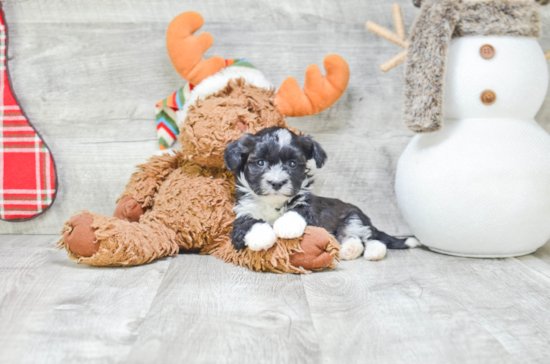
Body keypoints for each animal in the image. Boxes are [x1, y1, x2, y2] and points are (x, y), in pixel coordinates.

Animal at [222, 126, 420, 260]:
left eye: (292, 164)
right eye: (260, 163)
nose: (277, 183)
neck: (274, 203)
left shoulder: (311, 211)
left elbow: (299, 210)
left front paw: (286, 225)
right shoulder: (243, 211)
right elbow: (248, 222)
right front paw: (261, 236)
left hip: (354, 217)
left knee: (370, 238)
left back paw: (373, 251)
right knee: (355, 239)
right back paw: (348, 250)